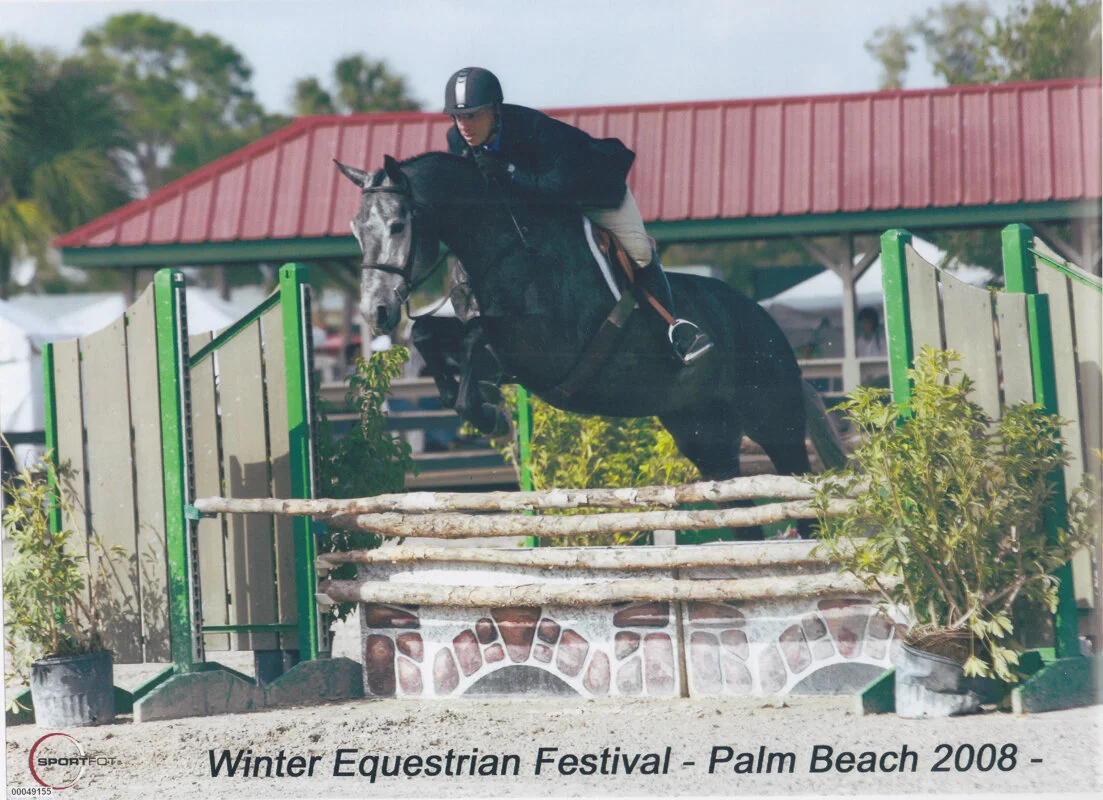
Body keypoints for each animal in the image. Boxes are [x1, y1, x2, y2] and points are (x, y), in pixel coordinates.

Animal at [336, 152, 845, 535]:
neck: (503, 247)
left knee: (802, 505)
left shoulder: (546, 348)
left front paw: (489, 414)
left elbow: (480, 335)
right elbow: (430, 334)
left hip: (774, 422)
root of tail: (768, 326)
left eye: (398, 226)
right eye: (356, 229)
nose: (377, 312)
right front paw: (475, 402)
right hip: (705, 435)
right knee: (740, 513)